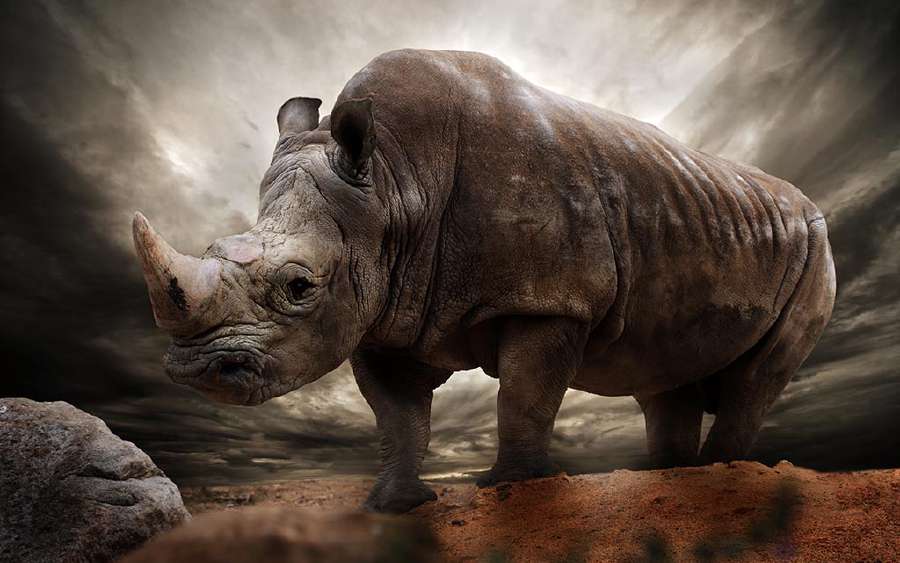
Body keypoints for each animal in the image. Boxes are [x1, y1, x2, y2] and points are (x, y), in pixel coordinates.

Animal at [133, 49, 836, 513]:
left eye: (299, 286)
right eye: (212, 250)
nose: (196, 371)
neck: (394, 182)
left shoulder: (552, 298)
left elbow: (524, 396)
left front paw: (513, 490)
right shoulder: (382, 310)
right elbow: (399, 418)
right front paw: (395, 505)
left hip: (816, 247)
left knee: (754, 379)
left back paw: (722, 475)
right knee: (665, 375)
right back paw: (670, 477)